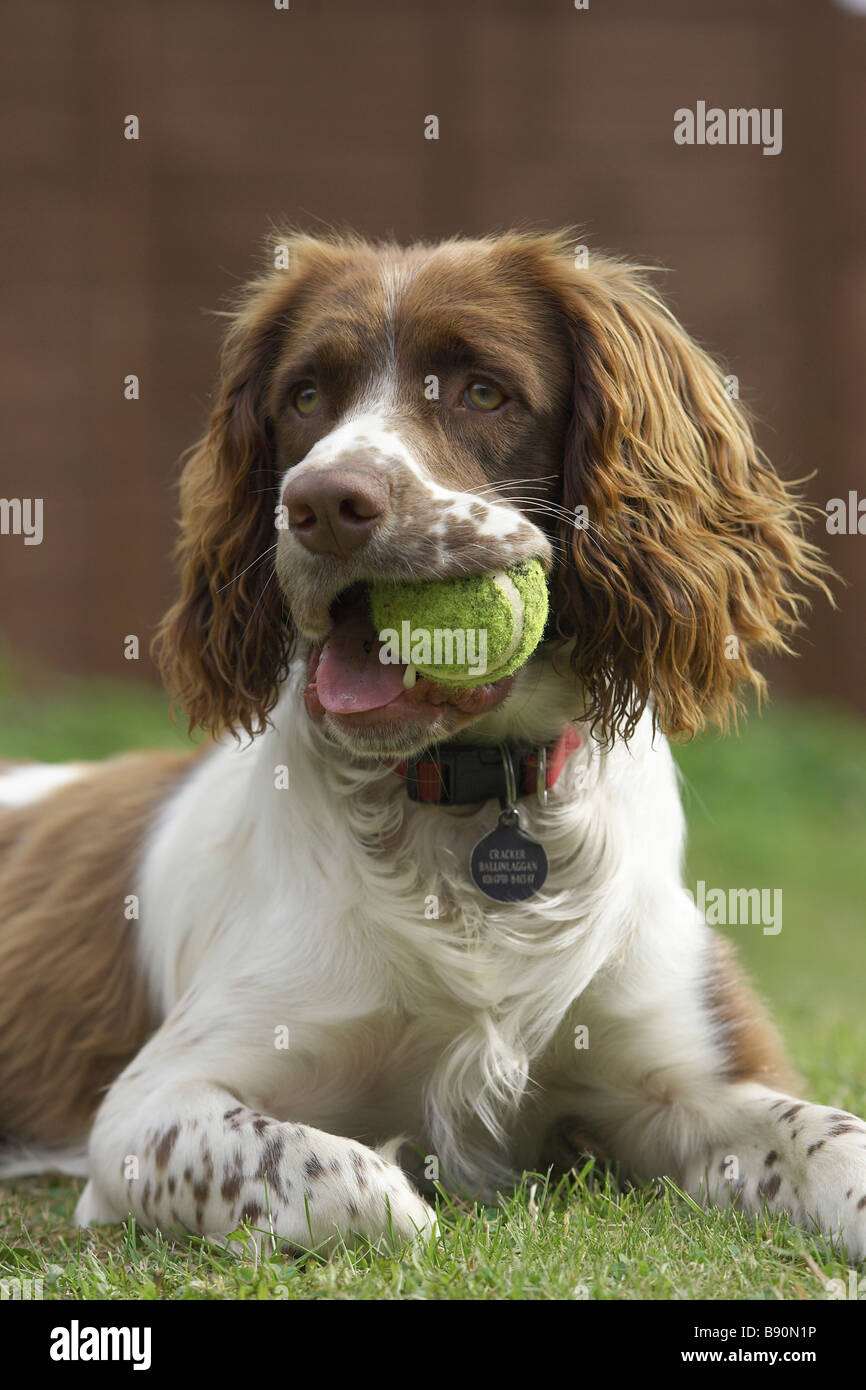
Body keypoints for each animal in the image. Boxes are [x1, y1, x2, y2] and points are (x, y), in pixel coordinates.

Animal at [1, 230, 866, 1262]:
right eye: (304, 397)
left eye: (482, 391)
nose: (323, 503)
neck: (468, 792)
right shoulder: (147, 1110)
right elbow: (348, 1183)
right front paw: (405, 1196)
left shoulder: (700, 1080)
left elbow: (835, 1141)